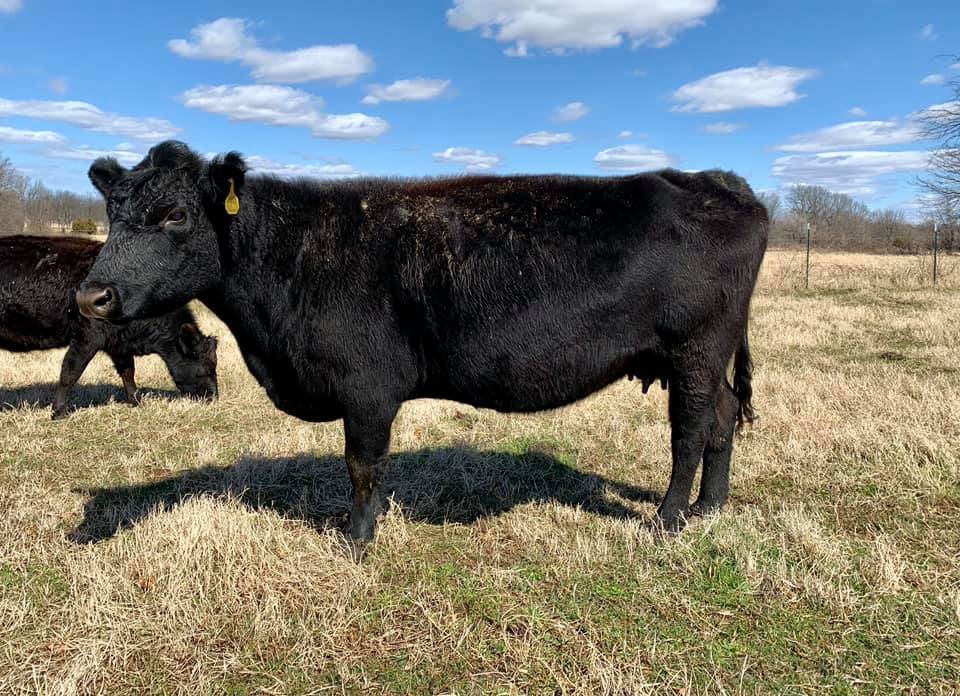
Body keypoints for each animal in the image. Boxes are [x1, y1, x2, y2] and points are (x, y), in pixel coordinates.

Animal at [0, 234, 219, 419]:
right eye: (207, 367)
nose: (213, 398)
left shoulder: (118, 343)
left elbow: (128, 372)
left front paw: (137, 402)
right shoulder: (87, 338)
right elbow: (69, 373)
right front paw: (59, 412)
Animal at [77, 140, 767, 549]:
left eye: (175, 215)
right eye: (111, 213)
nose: (91, 296)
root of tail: (718, 180)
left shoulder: (366, 386)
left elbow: (361, 463)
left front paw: (357, 538)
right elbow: (374, 467)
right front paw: (375, 521)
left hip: (694, 347)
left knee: (690, 427)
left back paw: (670, 520)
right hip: (704, 354)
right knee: (724, 416)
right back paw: (710, 507)